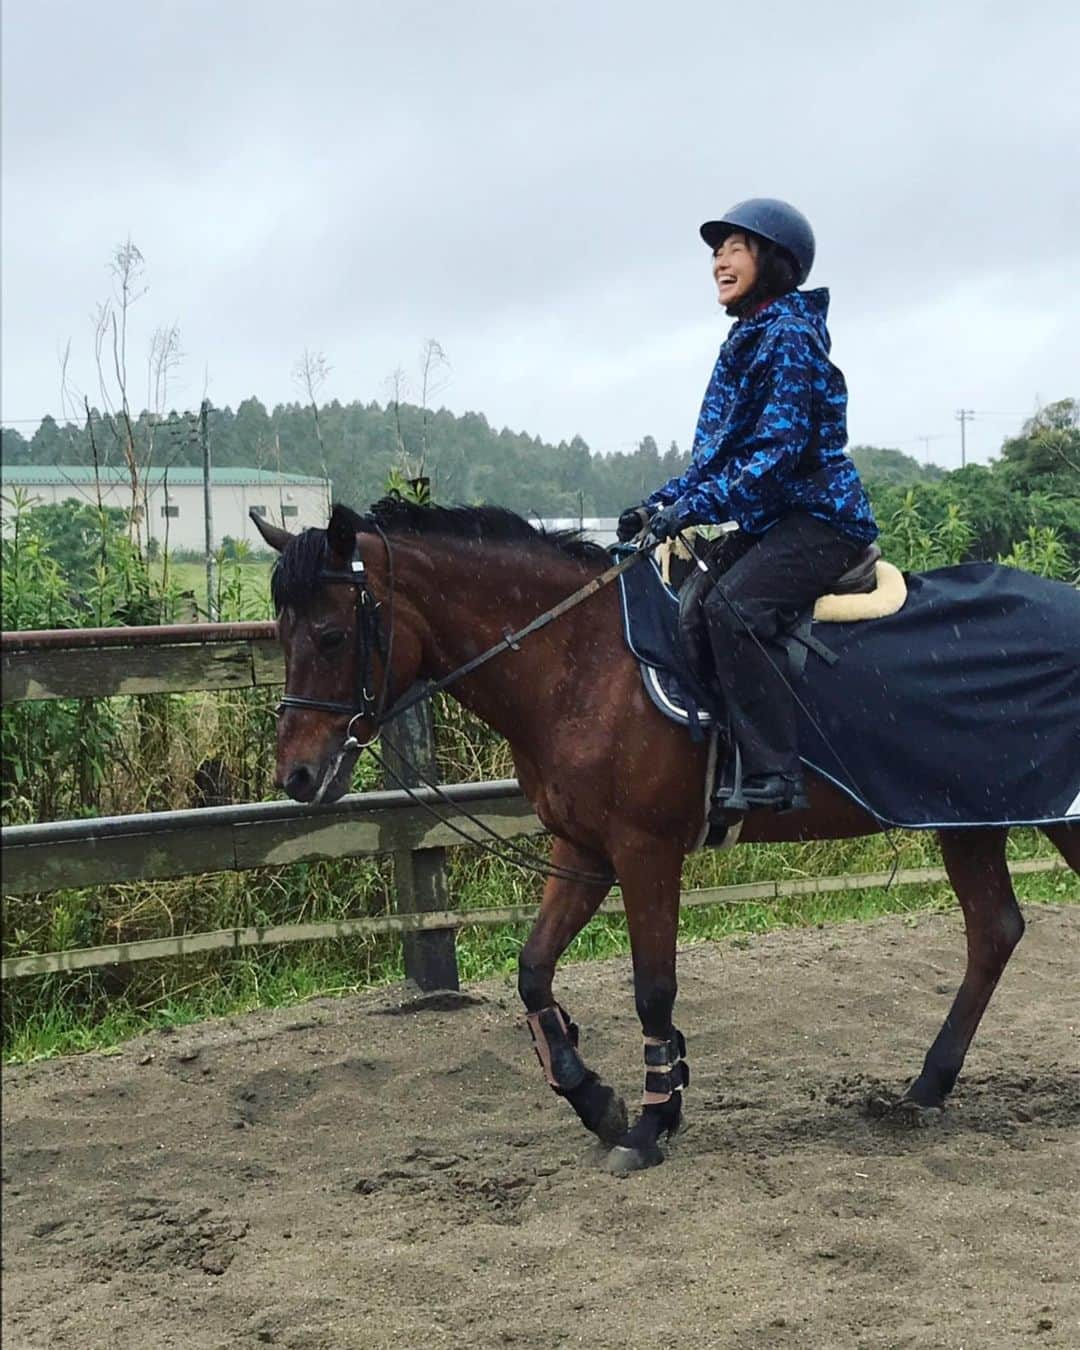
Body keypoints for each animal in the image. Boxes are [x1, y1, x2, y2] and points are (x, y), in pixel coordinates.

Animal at [255, 502, 1080, 1177]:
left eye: (331, 634)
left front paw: (651, 1124)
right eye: (281, 633)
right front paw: (598, 1100)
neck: (581, 658)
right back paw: (926, 1088)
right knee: (993, 931)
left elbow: (653, 986)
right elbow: (532, 971)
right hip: (966, 816)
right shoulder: (582, 850)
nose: (297, 773)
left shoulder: (644, 849)